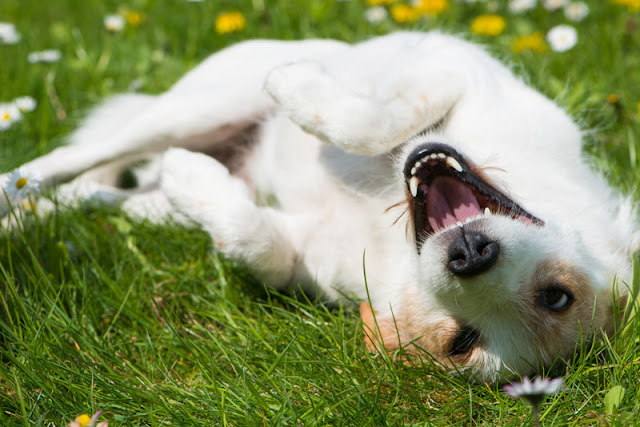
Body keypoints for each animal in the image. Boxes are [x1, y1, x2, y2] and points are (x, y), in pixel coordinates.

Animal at [2, 31, 636, 382]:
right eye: (559, 295)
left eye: (463, 342)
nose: (470, 253)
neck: (392, 227)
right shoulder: (450, 64)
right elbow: (378, 119)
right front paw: (296, 87)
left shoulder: (299, 253)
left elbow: (255, 242)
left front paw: (195, 180)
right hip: (193, 108)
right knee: (73, 157)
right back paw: (13, 188)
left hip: (154, 195)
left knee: (102, 194)